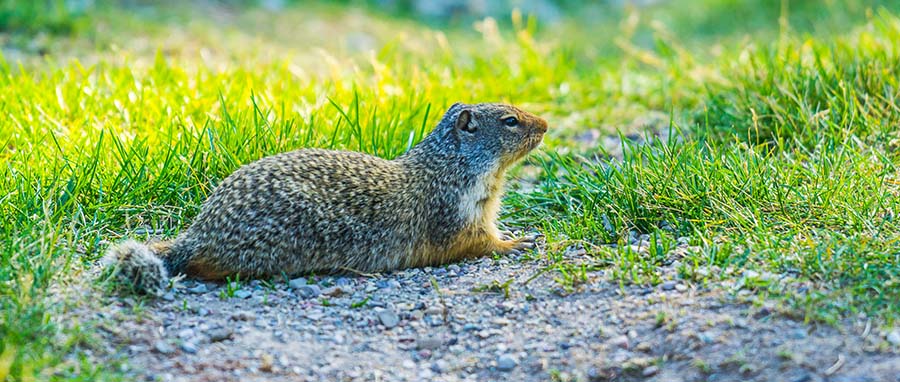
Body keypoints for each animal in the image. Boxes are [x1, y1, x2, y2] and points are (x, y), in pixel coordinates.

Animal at [102, 102, 544, 296]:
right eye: (510, 120)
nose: (545, 124)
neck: (451, 165)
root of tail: (198, 234)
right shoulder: (456, 214)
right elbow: (478, 242)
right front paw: (517, 242)